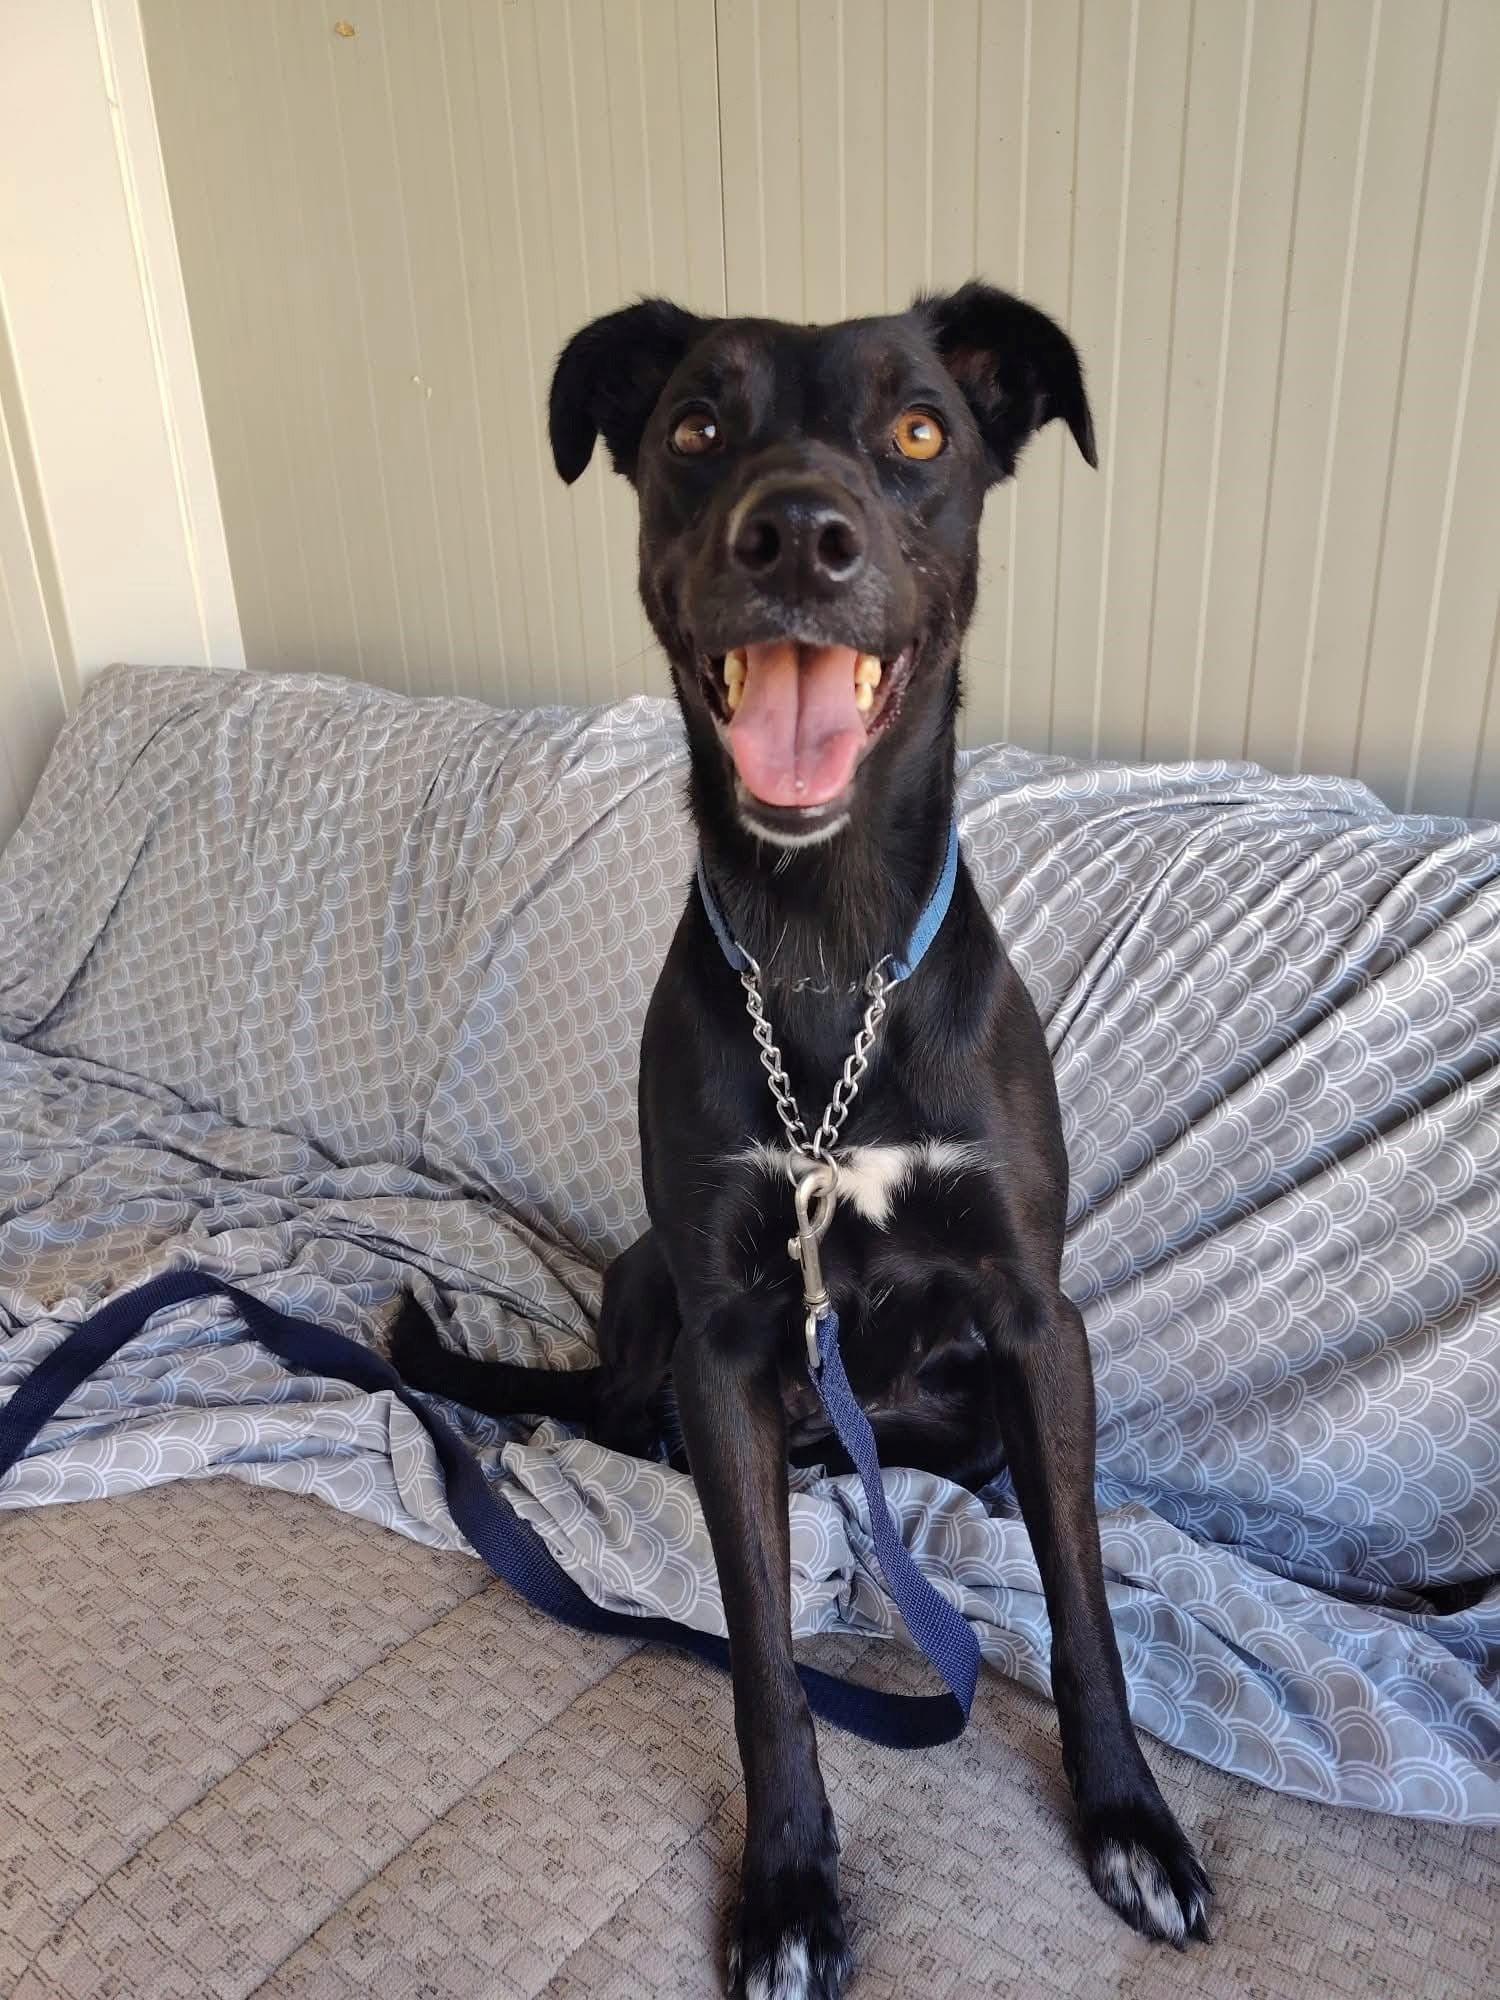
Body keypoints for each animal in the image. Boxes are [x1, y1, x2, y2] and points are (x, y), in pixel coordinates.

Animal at [392, 283, 1212, 1997]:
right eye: (698, 423)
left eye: (919, 429)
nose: (798, 537)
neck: (827, 949)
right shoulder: (719, 1347)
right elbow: (762, 1654)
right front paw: (786, 1887)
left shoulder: (1038, 1322)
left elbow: (1085, 1606)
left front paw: (1130, 1822)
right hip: (651, 1298)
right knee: (627, 1415)